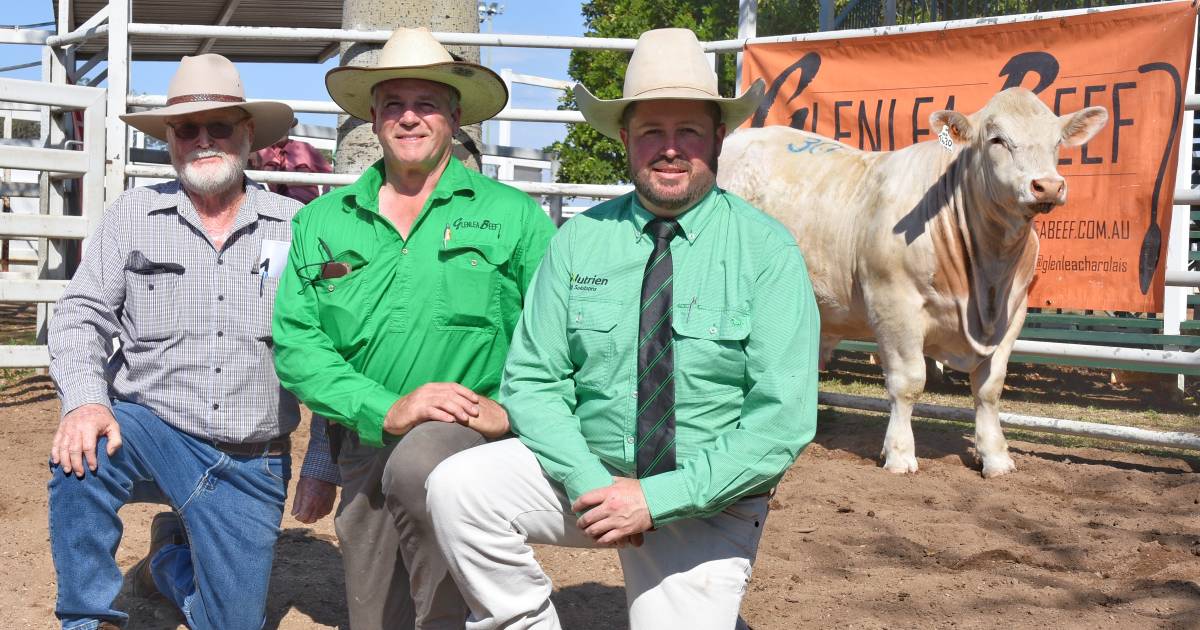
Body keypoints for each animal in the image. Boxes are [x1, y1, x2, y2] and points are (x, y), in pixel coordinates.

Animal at [715, 88, 1108, 477]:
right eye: (997, 139)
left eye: (1057, 142)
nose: (1048, 186)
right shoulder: (893, 302)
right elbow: (909, 382)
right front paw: (900, 454)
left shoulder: (1013, 313)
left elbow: (990, 388)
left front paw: (996, 457)